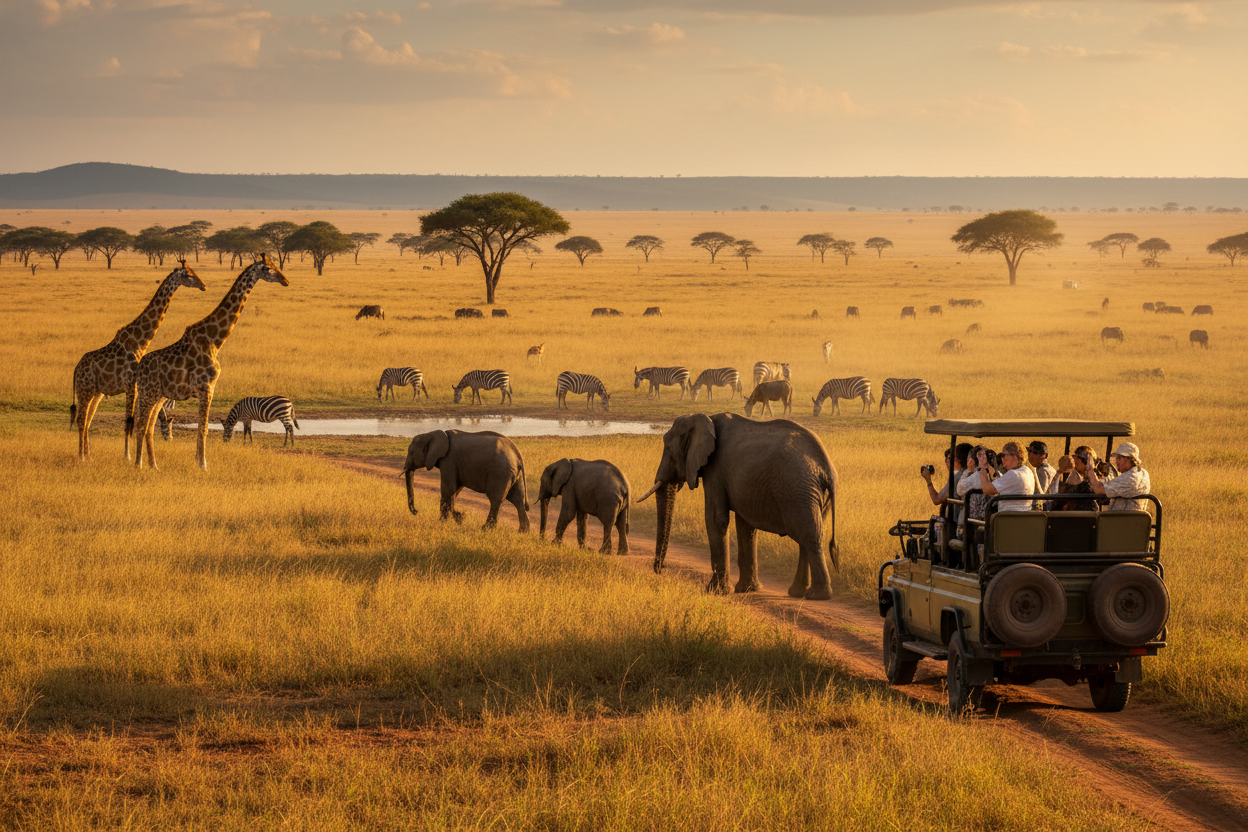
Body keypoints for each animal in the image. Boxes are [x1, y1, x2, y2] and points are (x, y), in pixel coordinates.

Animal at [71, 261, 206, 460]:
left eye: (194, 271)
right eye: (188, 275)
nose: (203, 285)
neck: (140, 341)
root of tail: (75, 370)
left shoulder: (135, 387)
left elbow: (134, 422)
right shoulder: (131, 386)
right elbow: (129, 422)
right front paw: (127, 458)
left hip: (97, 393)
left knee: (87, 420)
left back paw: (89, 456)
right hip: (84, 390)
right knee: (81, 420)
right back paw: (81, 457)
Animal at [132, 254, 289, 471]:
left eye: (275, 265)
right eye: (267, 268)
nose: (285, 280)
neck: (215, 340)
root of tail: (139, 369)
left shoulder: (204, 389)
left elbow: (201, 427)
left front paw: (199, 461)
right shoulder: (207, 387)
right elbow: (204, 428)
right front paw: (203, 465)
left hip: (158, 395)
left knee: (147, 426)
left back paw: (153, 465)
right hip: (149, 393)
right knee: (141, 424)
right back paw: (138, 465)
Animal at [638, 413, 838, 599]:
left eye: (668, 448)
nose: (661, 569)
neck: (704, 418)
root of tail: (827, 468)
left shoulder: (715, 469)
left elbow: (715, 519)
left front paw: (715, 591)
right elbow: (745, 526)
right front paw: (746, 590)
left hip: (797, 489)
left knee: (808, 535)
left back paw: (818, 595)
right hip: (811, 493)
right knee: (808, 535)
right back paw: (798, 593)